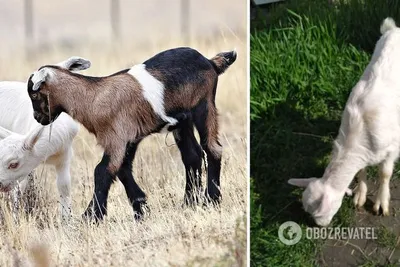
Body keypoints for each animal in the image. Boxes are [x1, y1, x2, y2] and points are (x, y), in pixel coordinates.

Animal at [0, 57, 89, 220]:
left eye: (13, 164)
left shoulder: (64, 157)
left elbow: (64, 187)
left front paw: (66, 220)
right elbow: (19, 191)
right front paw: (16, 218)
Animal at [288, 17, 400, 226]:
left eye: (319, 213)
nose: (319, 226)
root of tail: (394, 29)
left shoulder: (391, 148)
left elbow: (385, 174)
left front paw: (381, 203)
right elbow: (361, 171)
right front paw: (359, 196)